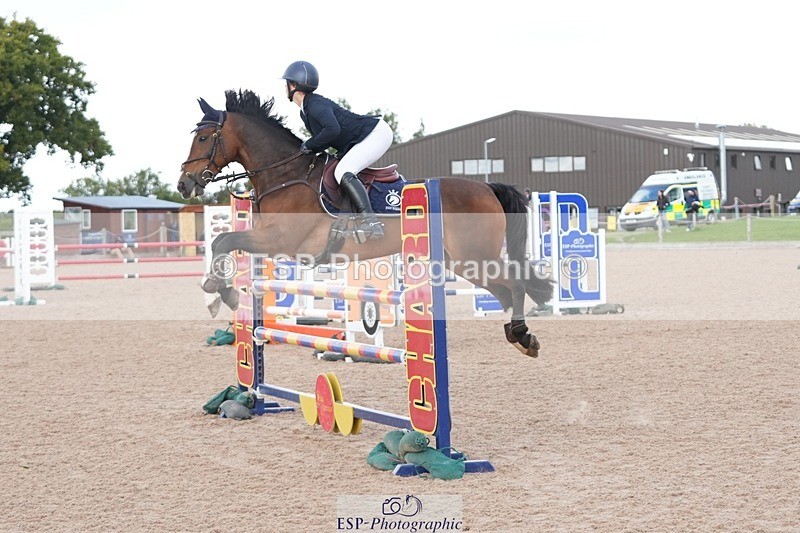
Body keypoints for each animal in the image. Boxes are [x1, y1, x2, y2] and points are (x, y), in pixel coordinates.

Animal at [177, 90, 552, 358]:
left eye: (203, 139)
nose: (184, 184)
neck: (284, 174)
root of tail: (487, 187)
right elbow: (223, 243)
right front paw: (220, 291)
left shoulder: (280, 239)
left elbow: (223, 241)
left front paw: (220, 290)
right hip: (462, 262)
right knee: (506, 289)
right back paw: (517, 332)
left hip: (474, 255)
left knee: (516, 283)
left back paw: (523, 337)